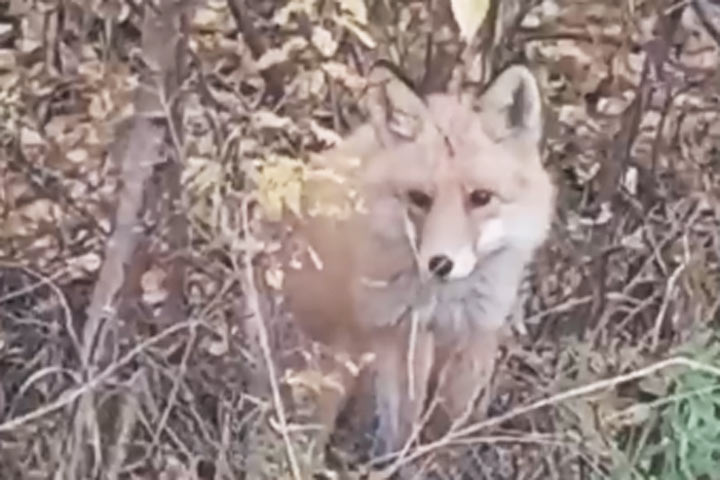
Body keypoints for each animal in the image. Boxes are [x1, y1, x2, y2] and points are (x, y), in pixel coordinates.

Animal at [272, 62, 556, 460]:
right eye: (419, 198)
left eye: (481, 197)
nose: (440, 263)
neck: (447, 303)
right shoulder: (401, 332)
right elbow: (404, 424)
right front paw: (402, 463)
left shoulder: (478, 330)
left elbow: (450, 423)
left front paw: (443, 461)